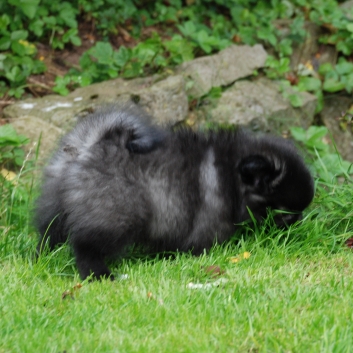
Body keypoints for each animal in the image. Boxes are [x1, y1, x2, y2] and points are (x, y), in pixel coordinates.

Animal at [35, 103, 314, 280]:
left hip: (56, 212)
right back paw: (100, 275)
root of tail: (90, 147)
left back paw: (42, 257)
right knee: (86, 248)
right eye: (285, 212)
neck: (231, 177)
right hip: (115, 217)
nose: (298, 221)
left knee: (50, 234)